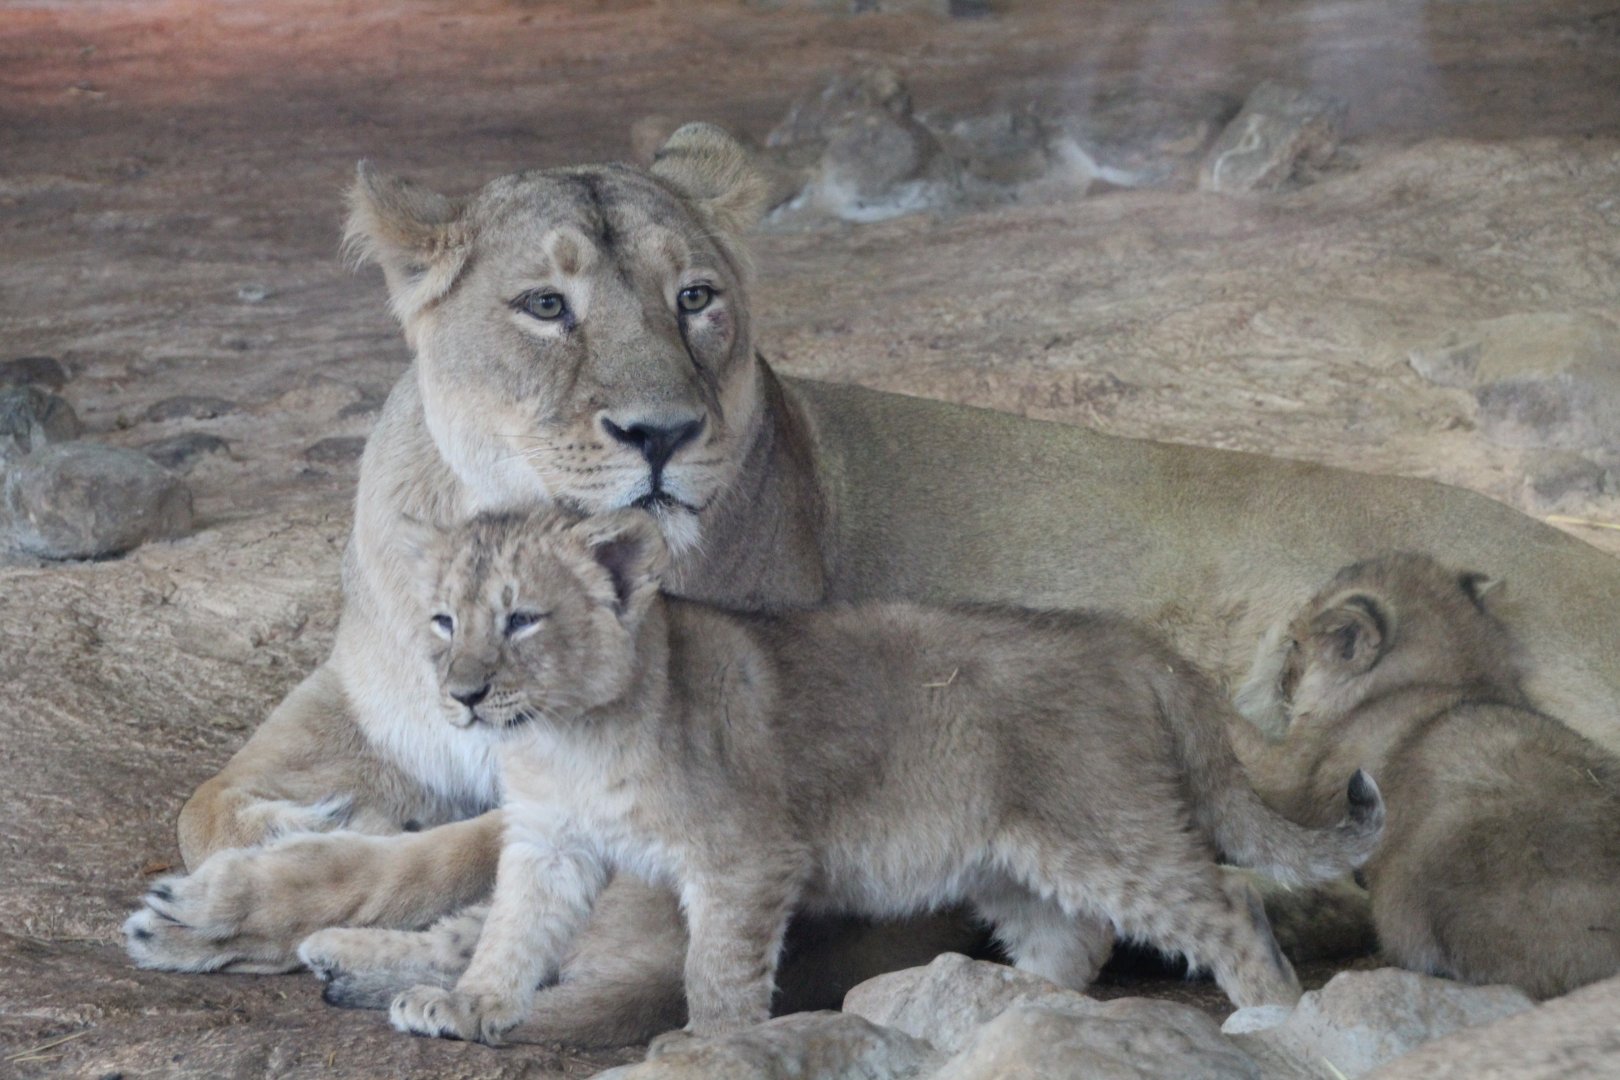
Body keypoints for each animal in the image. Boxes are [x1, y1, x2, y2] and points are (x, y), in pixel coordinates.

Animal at [125, 123, 1620, 1043]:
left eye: (698, 298)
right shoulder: (374, 703)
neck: (497, 538)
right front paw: (276, 852)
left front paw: (229, 910)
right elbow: (222, 801)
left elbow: (452, 854)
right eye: (545, 307)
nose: (661, 434)